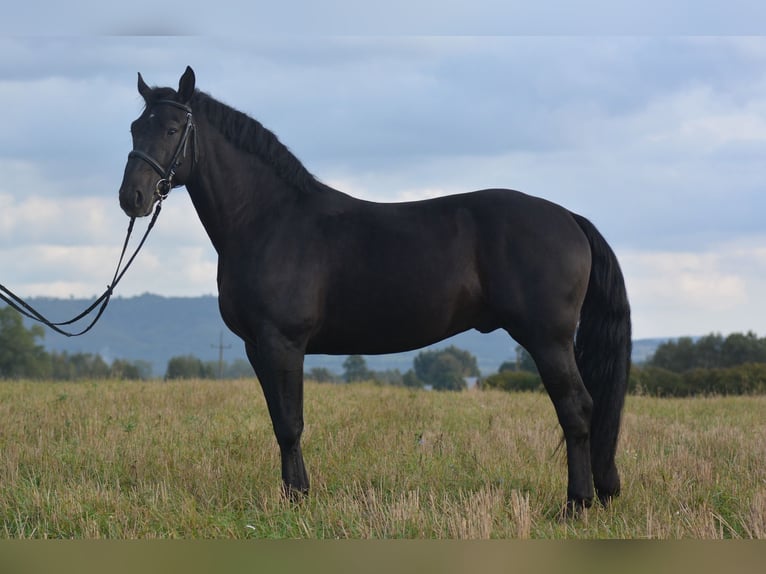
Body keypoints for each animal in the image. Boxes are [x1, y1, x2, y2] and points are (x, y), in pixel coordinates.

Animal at [120, 67, 632, 512]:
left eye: (171, 128)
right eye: (134, 128)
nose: (132, 198)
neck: (268, 219)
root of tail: (569, 218)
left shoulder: (283, 342)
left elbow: (290, 423)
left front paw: (297, 499)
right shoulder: (254, 346)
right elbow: (278, 421)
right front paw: (292, 494)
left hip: (548, 340)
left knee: (577, 410)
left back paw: (576, 504)